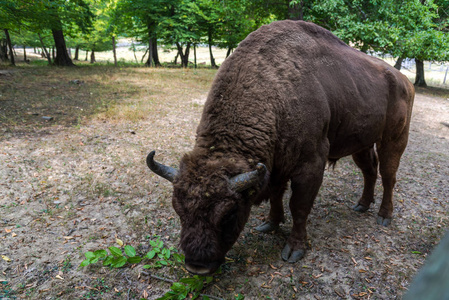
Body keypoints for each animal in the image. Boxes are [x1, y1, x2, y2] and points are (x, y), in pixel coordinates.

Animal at [146, 19, 412, 276]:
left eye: (229, 214)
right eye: (178, 210)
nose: (196, 266)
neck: (274, 91)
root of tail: (404, 81)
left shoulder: (310, 165)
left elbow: (299, 206)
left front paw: (294, 249)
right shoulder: (274, 165)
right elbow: (275, 194)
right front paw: (270, 224)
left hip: (394, 139)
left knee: (388, 175)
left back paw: (383, 216)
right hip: (362, 144)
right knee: (370, 171)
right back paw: (361, 205)